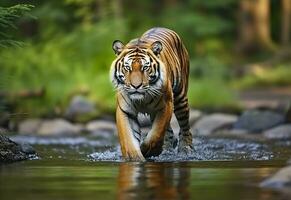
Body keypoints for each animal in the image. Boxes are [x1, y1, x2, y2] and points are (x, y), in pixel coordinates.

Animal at [109, 27, 194, 161]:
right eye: (127, 67)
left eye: (145, 67)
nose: (136, 86)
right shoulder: (125, 110)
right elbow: (128, 138)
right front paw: (134, 157)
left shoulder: (166, 105)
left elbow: (156, 133)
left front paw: (147, 150)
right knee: (170, 132)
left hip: (180, 98)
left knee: (185, 126)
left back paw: (185, 149)